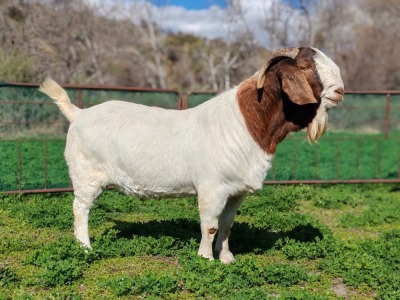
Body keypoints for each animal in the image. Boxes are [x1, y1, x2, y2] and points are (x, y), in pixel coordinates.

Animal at [40, 46, 344, 262]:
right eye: (306, 67)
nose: (340, 91)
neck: (246, 124)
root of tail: (78, 114)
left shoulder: (236, 191)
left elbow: (227, 225)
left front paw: (227, 258)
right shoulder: (212, 187)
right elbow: (209, 225)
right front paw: (205, 258)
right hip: (86, 175)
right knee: (80, 208)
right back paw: (85, 247)